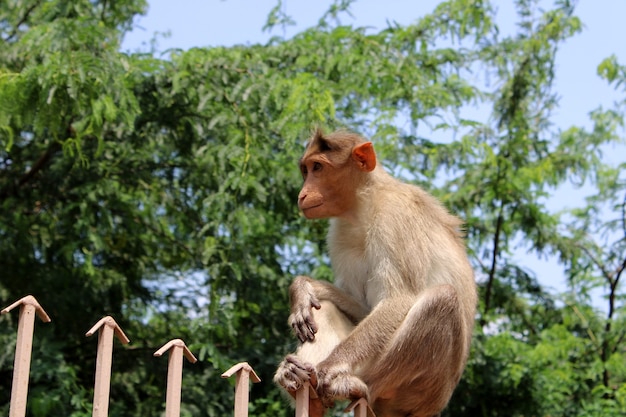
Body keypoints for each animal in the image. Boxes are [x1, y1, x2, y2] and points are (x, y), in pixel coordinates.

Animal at [272, 127, 472, 416]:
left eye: (318, 167)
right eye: (305, 169)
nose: (302, 194)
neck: (363, 206)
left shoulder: (394, 218)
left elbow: (398, 298)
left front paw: (328, 367)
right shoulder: (339, 232)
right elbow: (363, 309)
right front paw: (302, 288)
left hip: (425, 390)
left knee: (442, 299)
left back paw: (353, 385)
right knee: (324, 306)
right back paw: (300, 385)